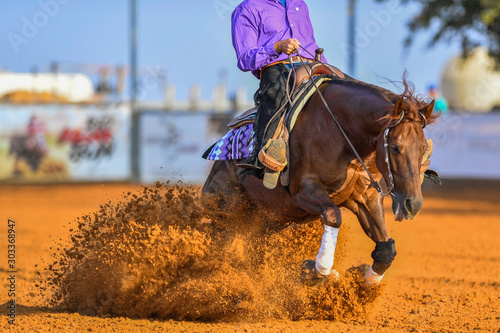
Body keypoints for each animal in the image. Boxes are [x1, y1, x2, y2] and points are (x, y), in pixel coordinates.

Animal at [202, 75, 438, 286]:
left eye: (423, 148)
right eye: (396, 147)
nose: (413, 204)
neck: (340, 132)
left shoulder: (364, 196)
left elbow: (386, 248)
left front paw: (366, 281)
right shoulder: (304, 191)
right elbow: (334, 216)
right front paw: (319, 271)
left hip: (269, 219)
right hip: (226, 205)